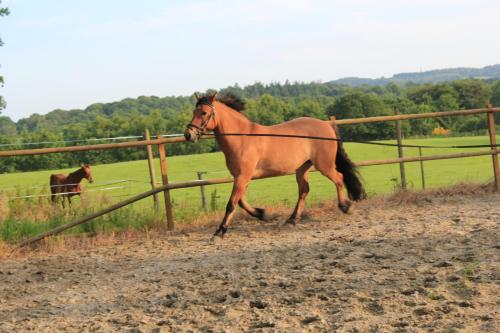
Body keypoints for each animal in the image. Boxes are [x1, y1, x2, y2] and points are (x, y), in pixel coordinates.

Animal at [185, 91, 368, 236]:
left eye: (204, 112)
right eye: (194, 111)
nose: (189, 134)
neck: (242, 137)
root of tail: (327, 124)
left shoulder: (243, 176)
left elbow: (232, 203)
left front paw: (220, 231)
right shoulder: (241, 177)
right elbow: (241, 201)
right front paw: (262, 214)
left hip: (324, 165)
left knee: (339, 178)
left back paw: (345, 207)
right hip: (302, 168)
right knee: (304, 190)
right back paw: (292, 220)